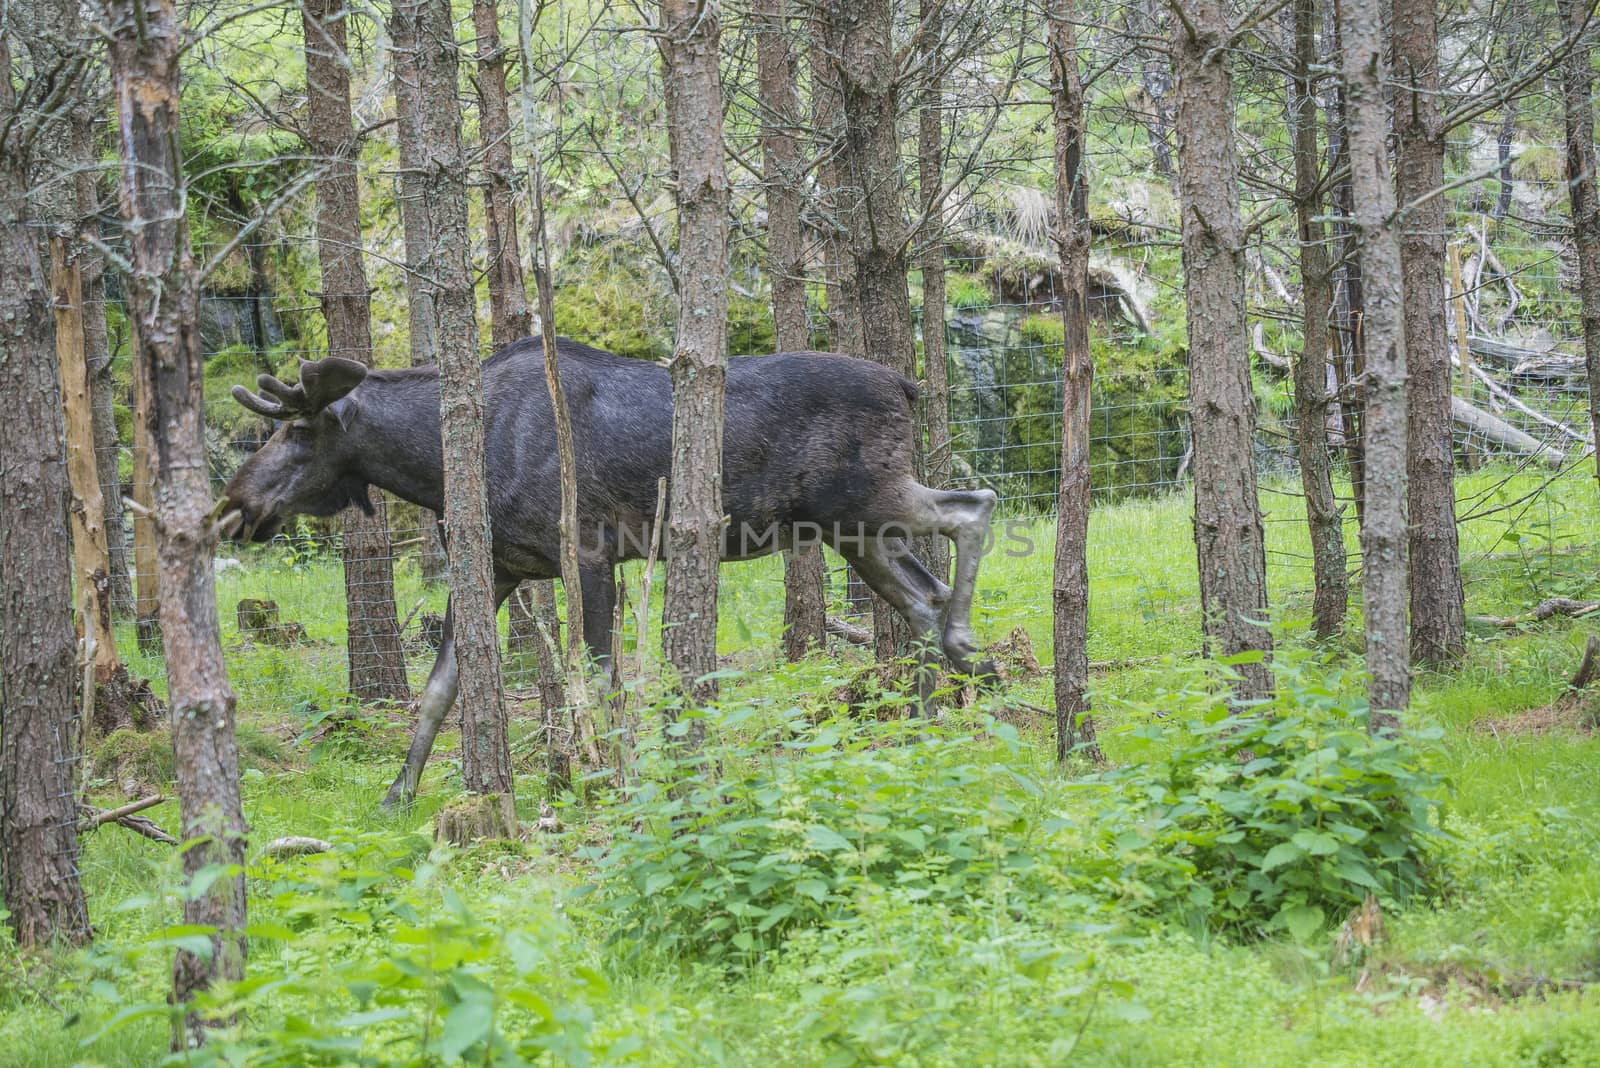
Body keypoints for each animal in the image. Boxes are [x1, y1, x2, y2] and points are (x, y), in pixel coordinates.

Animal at [222, 337, 998, 805]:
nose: (233, 507)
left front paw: (607, 781)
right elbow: (442, 687)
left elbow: (597, 681)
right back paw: (937, 717)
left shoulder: (592, 553)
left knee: (975, 506)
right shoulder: (502, 568)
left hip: (864, 498)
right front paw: (398, 794)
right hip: (848, 529)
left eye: (297, 430)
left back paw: (969, 658)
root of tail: (908, 385)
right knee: (922, 598)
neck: (438, 471)